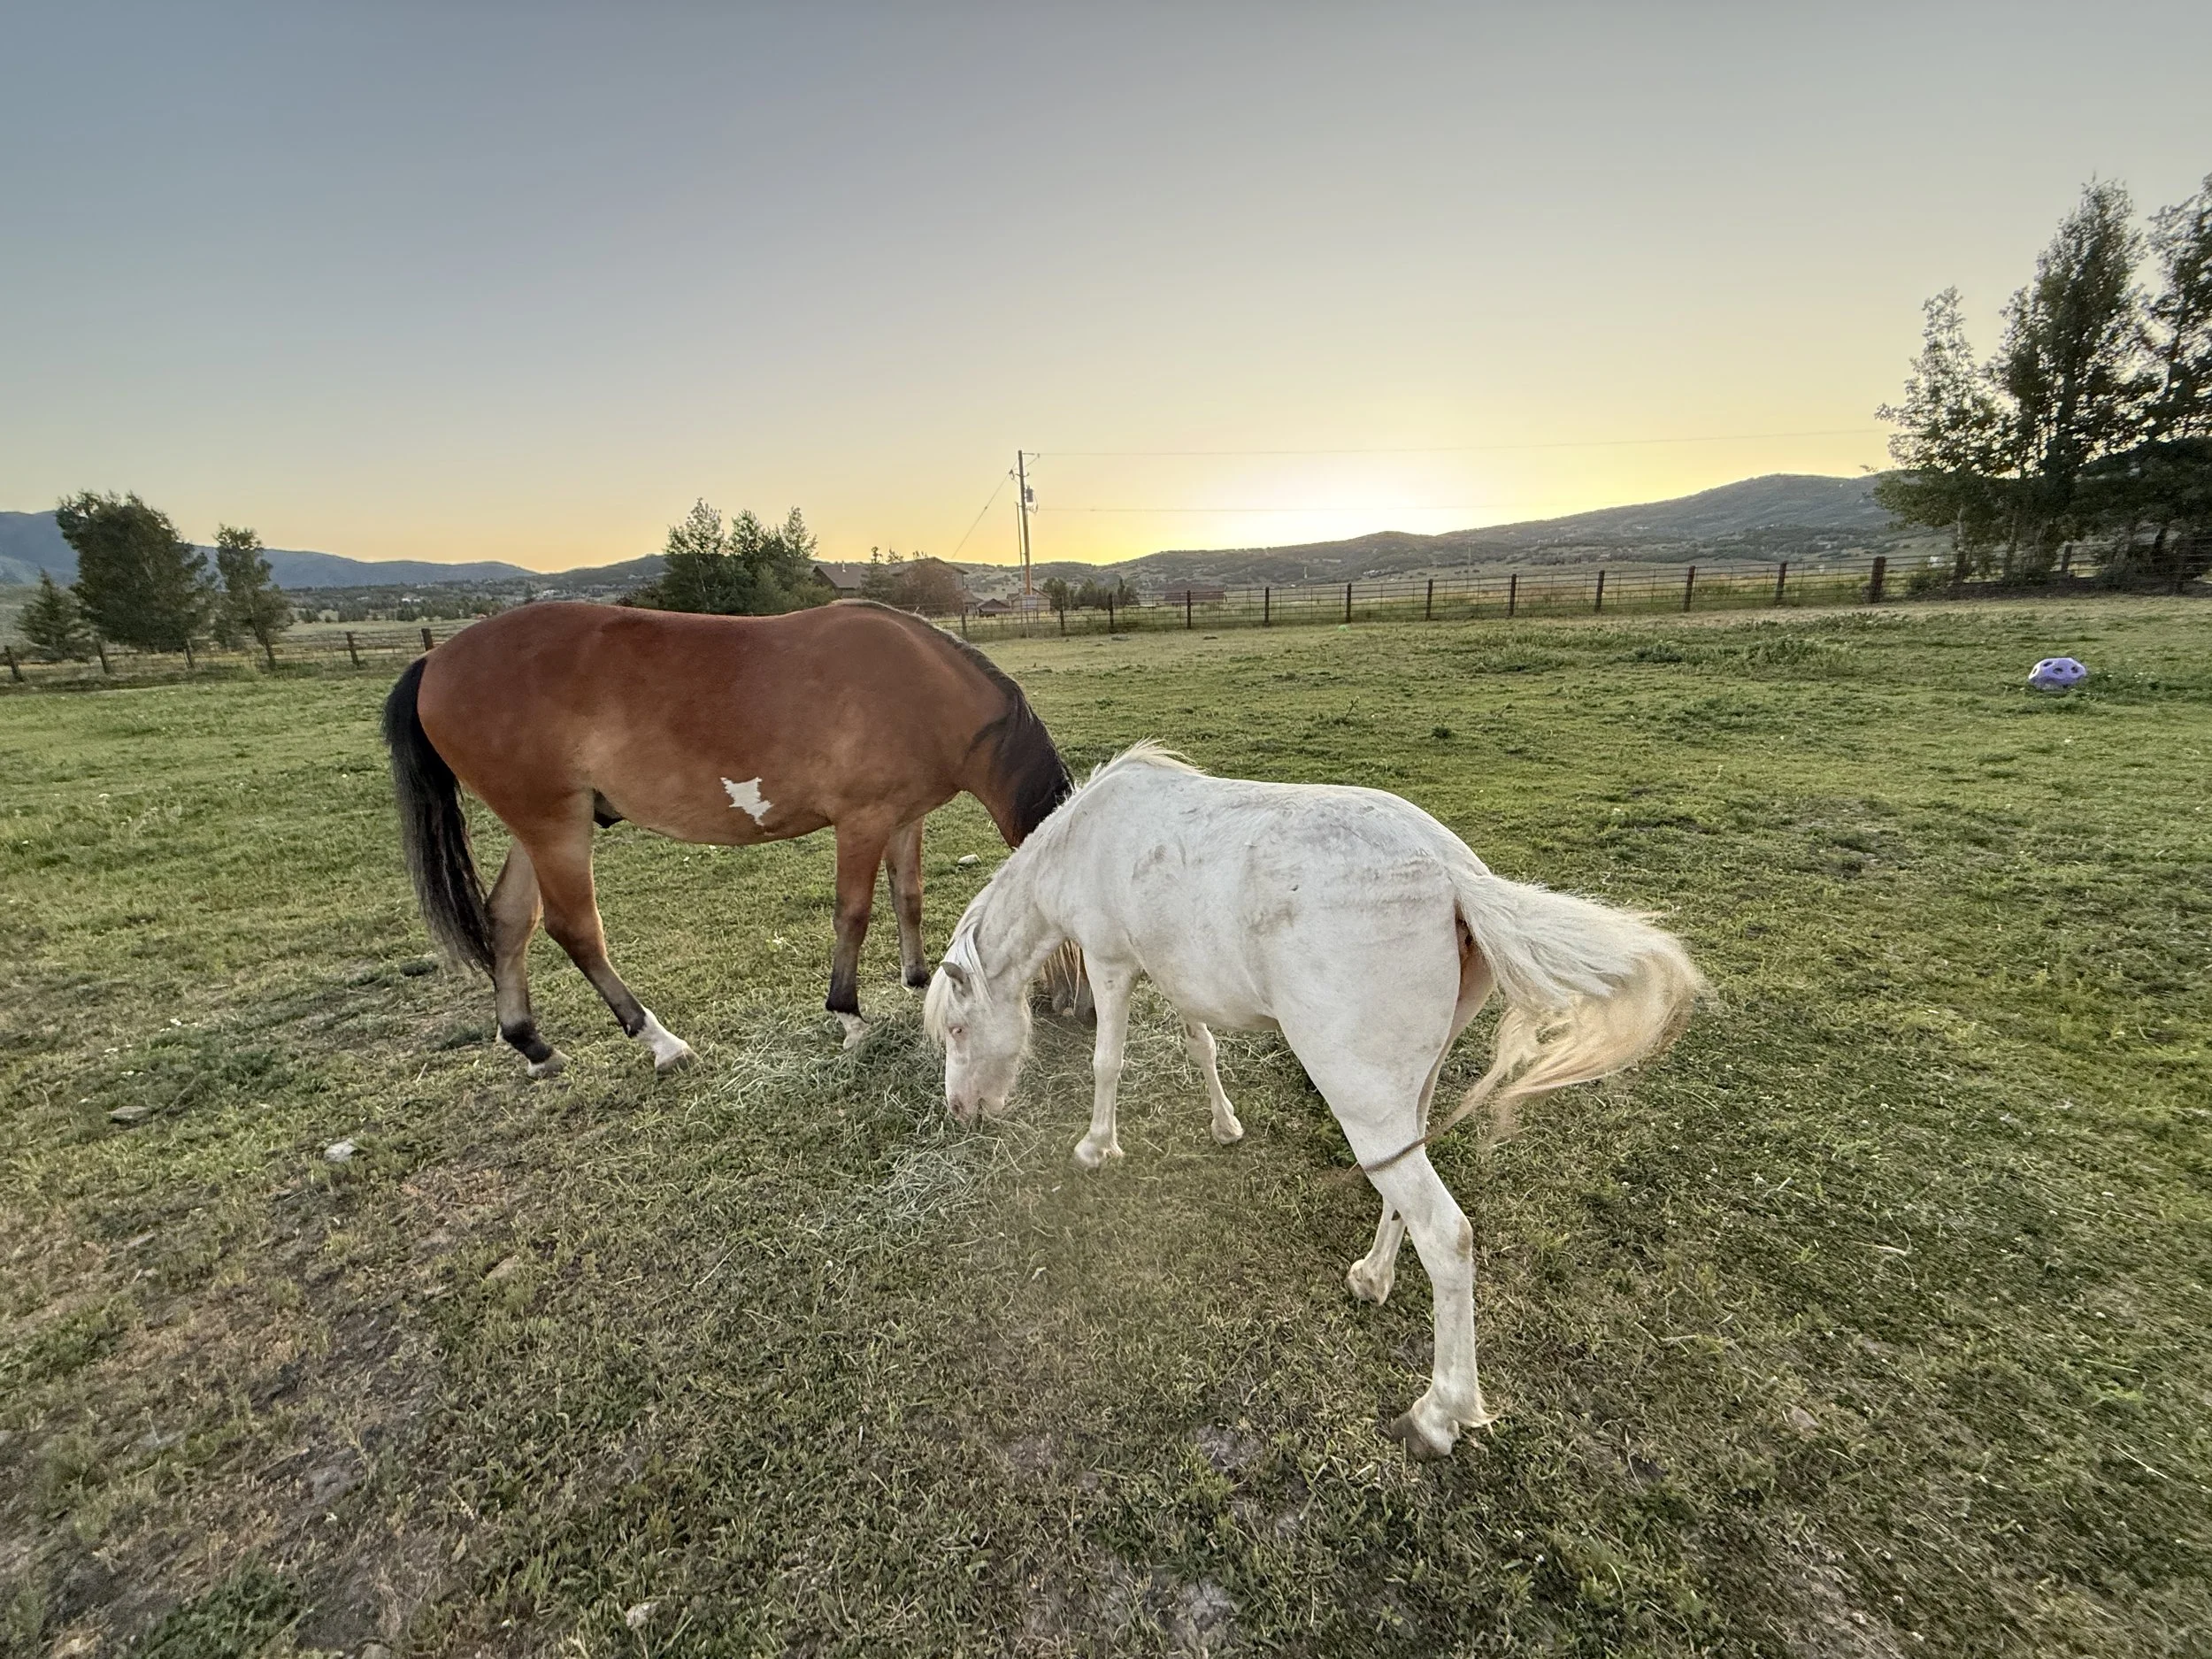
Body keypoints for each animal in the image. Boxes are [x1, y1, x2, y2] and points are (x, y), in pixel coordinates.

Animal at [382, 599, 1072, 1077]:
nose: (1076, 1010)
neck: (921, 686)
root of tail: (434, 660)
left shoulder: (905, 817)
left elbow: (909, 897)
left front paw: (918, 978)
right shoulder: (863, 821)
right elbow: (853, 913)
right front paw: (848, 1016)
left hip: (537, 827)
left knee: (509, 920)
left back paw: (533, 1045)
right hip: (555, 826)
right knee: (574, 930)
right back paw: (660, 1041)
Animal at [923, 743, 1705, 1458]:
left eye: (957, 1028)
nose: (962, 1110)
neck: (1091, 837)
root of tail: (1454, 875)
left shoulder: (1112, 966)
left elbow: (1106, 1062)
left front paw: (1096, 1146)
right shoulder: (1178, 978)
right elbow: (1202, 1046)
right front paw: (1224, 1124)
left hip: (1362, 1099)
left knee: (1447, 1235)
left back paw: (1437, 1415)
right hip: (1399, 1101)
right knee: (1404, 1194)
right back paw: (1373, 1278)